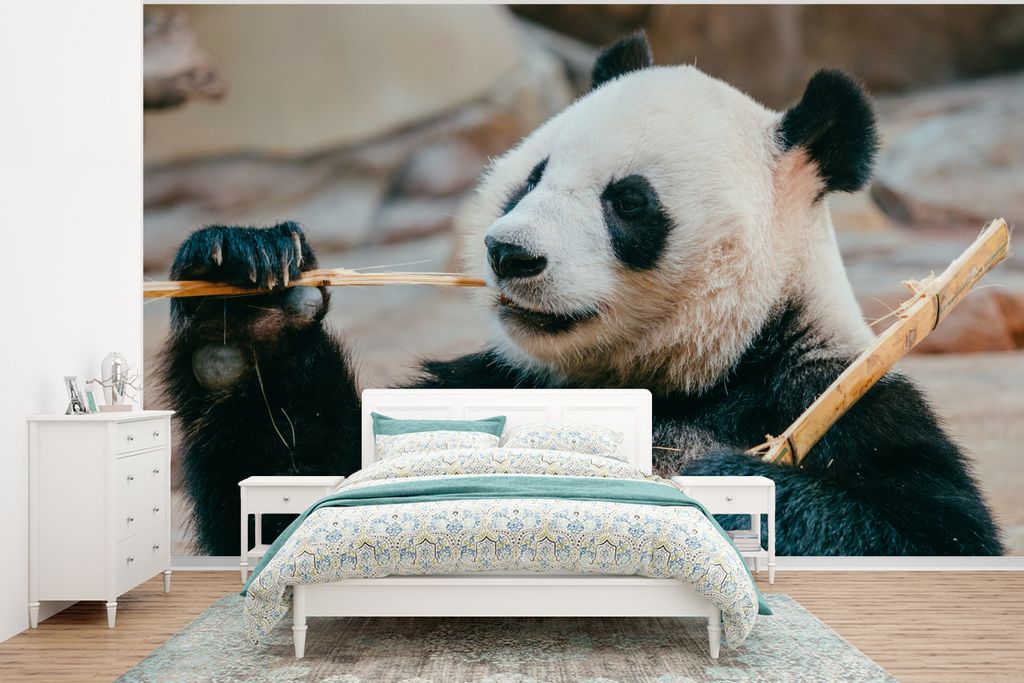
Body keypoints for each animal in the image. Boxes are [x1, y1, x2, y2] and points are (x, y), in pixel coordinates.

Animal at [163, 32, 1004, 557]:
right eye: (532, 176)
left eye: (628, 202)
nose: (509, 253)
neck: (689, 369)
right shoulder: (494, 379)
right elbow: (304, 487)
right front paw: (247, 306)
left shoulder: (830, 396)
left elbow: (931, 534)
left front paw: (704, 483)